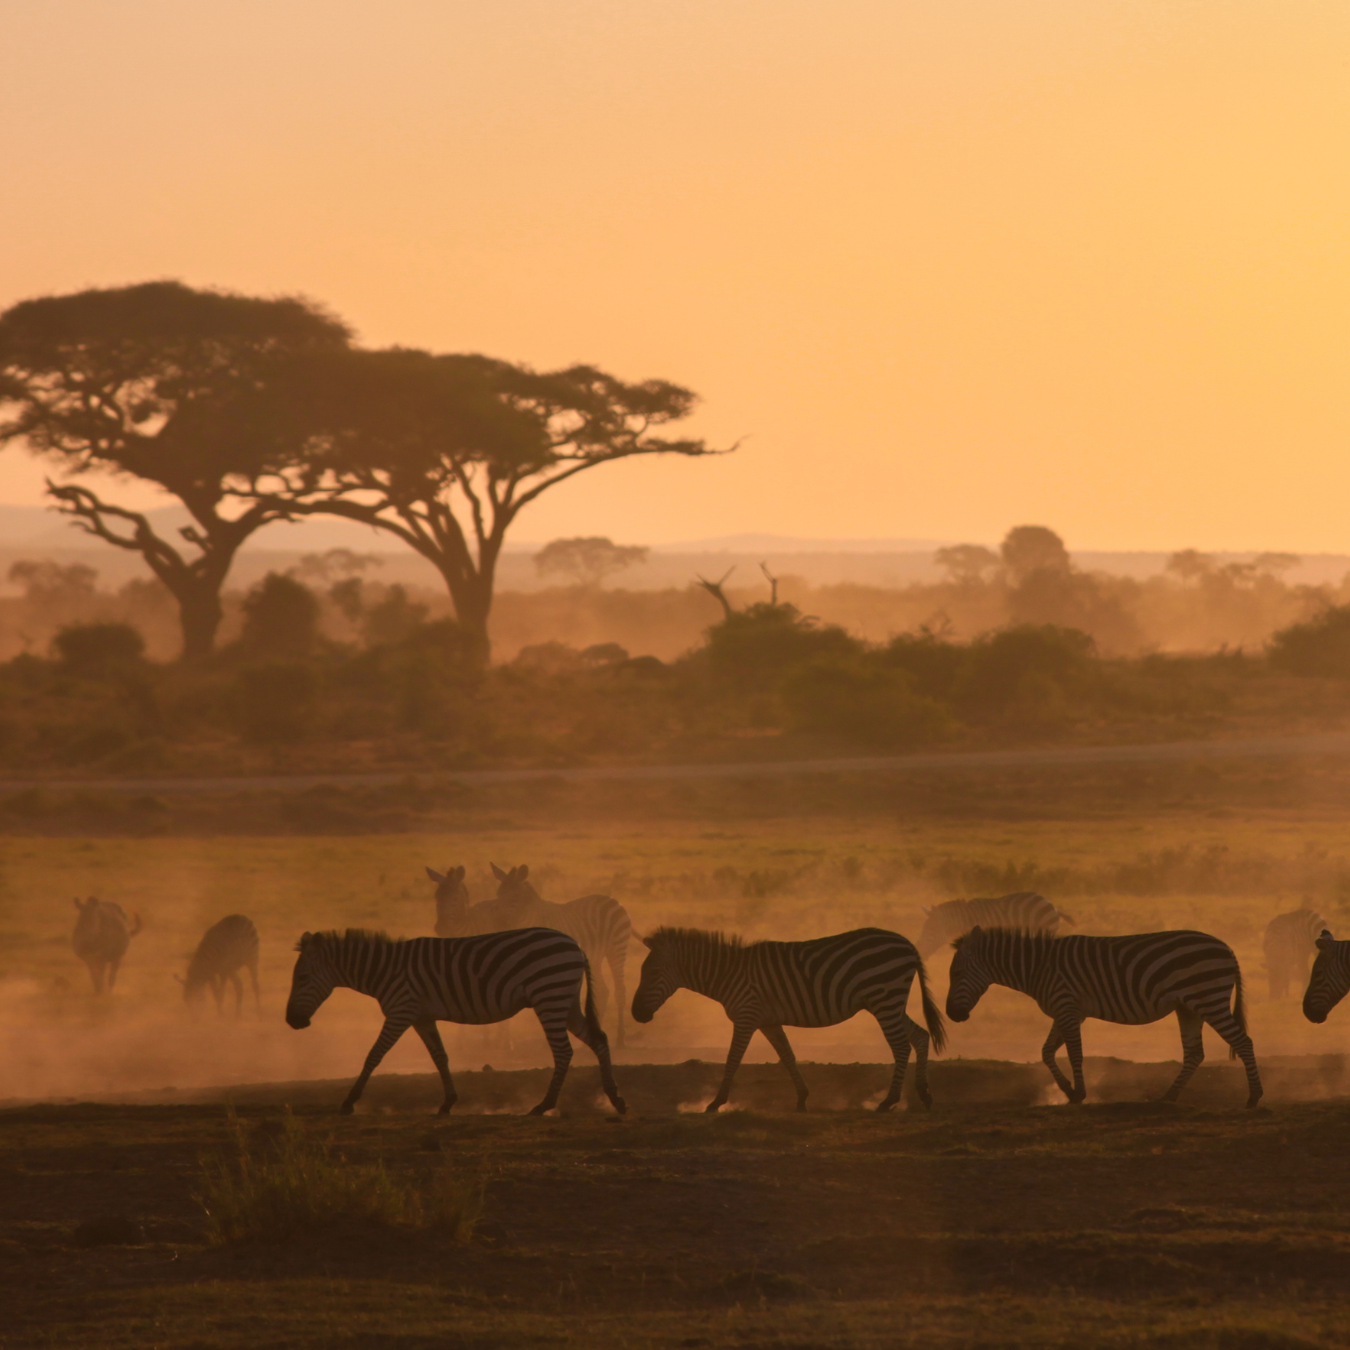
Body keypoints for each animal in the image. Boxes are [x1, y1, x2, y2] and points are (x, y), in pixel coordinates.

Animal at [285, 927, 627, 1117]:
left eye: (302, 978)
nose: (291, 1021)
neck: (384, 970)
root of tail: (575, 944)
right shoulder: (422, 1016)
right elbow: (440, 1057)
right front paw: (448, 1103)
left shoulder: (400, 1011)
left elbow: (374, 1055)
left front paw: (349, 1102)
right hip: (564, 1000)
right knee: (598, 1040)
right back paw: (615, 1098)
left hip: (550, 996)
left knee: (563, 1052)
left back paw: (544, 1106)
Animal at [426, 862, 632, 1048]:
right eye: (436, 897)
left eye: (455, 898)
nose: (440, 928)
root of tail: (610, 899)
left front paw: (504, 1041)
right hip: (595, 958)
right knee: (603, 991)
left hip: (617, 948)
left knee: (619, 990)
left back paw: (621, 1038)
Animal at [631, 926, 946, 1113]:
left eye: (653, 972)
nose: (636, 1014)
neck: (728, 974)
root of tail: (907, 943)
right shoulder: (767, 1020)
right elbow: (787, 1055)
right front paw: (802, 1098)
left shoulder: (746, 1016)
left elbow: (733, 1059)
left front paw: (716, 1103)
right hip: (888, 1002)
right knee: (920, 1036)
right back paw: (925, 1094)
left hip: (885, 999)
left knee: (901, 1047)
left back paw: (889, 1101)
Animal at [946, 927, 1262, 1108]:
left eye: (956, 974)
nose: (951, 1014)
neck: (1038, 967)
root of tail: (1227, 948)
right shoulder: (1066, 1010)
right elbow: (1046, 1052)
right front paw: (1068, 1090)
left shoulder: (1067, 1007)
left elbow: (1075, 1053)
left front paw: (1080, 1093)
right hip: (1189, 1006)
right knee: (1195, 1053)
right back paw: (1168, 1097)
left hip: (1209, 998)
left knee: (1243, 1042)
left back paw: (1254, 1097)